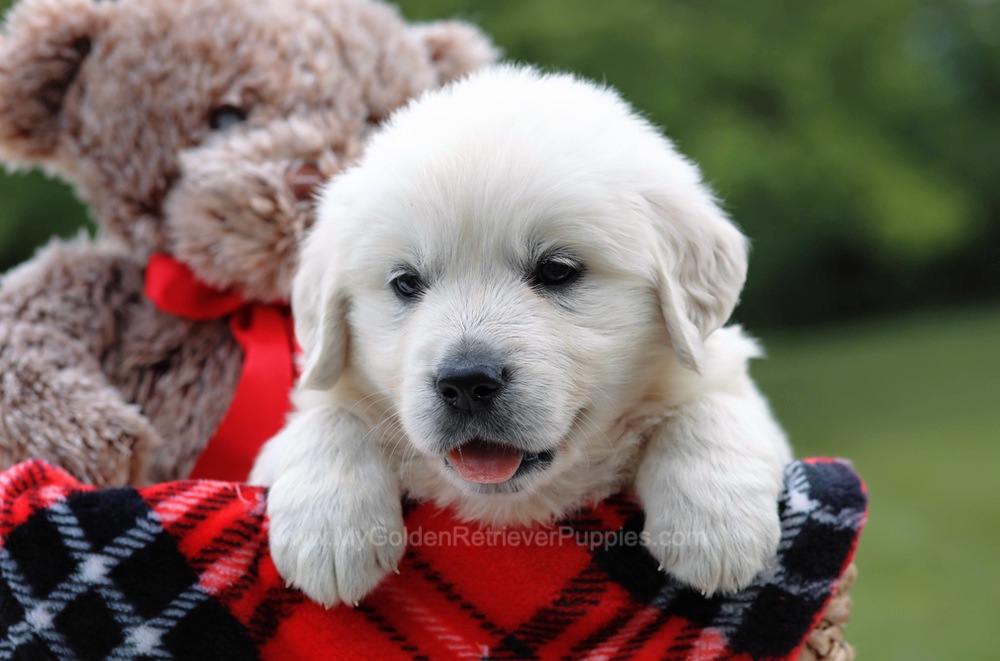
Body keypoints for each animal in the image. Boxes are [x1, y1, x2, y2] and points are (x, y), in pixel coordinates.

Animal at [250, 67, 788, 608]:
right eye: (405, 282)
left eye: (557, 270)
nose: (466, 382)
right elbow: (327, 416)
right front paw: (329, 532)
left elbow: (709, 405)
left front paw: (716, 527)